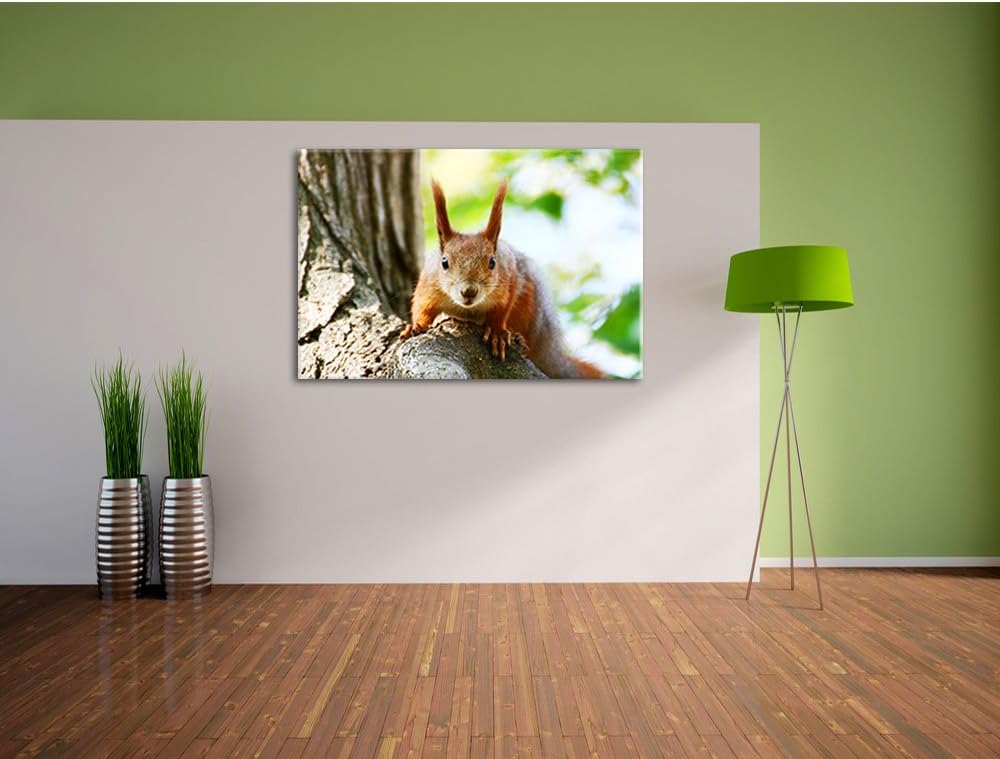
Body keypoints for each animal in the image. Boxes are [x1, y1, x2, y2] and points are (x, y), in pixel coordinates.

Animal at [400, 179, 603, 379]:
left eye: (492, 262)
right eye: (444, 262)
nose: (469, 291)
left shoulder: (509, 279)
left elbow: (502, 309)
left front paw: (497, 333)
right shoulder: (428, 285)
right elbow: (422, 307)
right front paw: (416, 326)